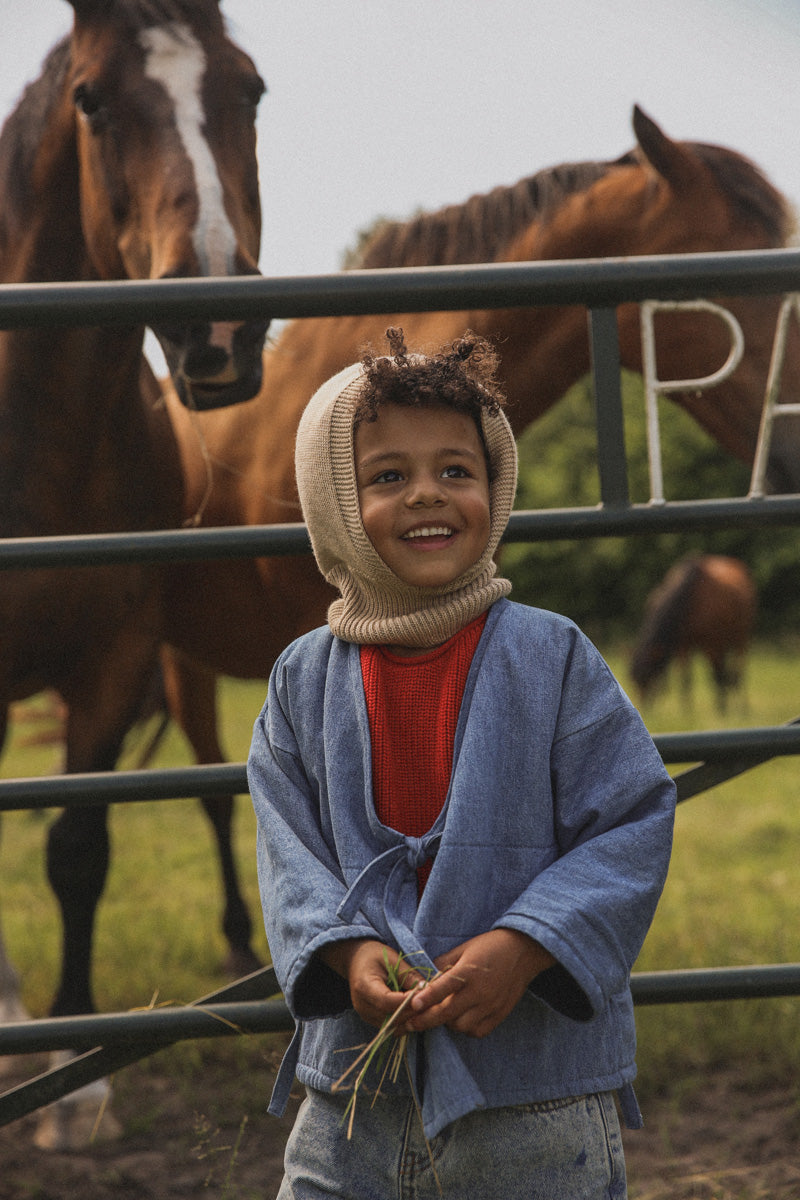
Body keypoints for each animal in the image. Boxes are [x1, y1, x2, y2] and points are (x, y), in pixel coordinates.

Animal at [633, 554, 758, 710]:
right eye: (635, 681)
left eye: (649, 676)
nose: (643, 706)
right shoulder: (684, 646)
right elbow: (686, 678)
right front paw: (686, 709)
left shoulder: (712, 645)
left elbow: (717, 676)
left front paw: (721, 708)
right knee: (729, 673)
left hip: (741, 638)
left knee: (738, 670)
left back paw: (742, 707)